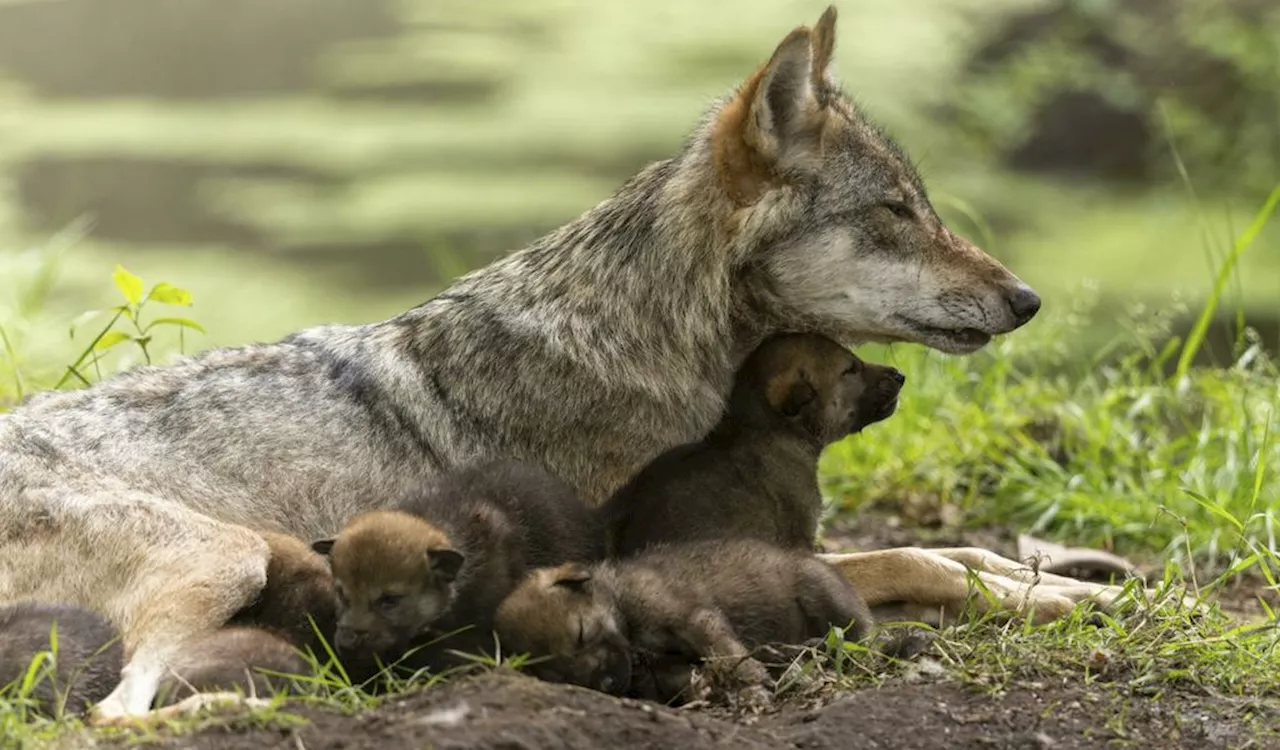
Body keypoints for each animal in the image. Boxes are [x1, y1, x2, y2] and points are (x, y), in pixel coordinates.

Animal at [0, 4, 1162, 716]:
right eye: (893, 213)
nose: (1027, 300)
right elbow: (924, 559)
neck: (663, 352)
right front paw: (1058, 600)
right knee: (115, 713)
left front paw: (1084, 584)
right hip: (225, 555)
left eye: (924, 207)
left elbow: (956, 550)